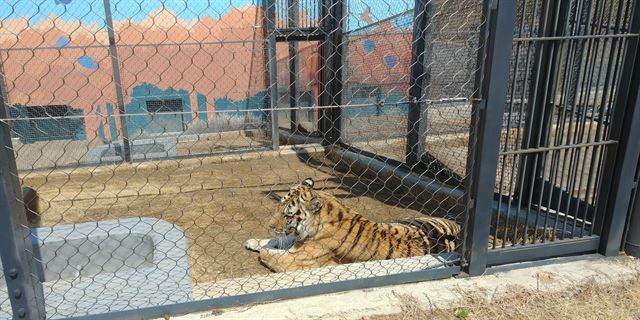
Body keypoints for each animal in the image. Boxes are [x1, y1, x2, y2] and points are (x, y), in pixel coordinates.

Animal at [245, 179, 460, 272]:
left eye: (287, 214)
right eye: (279, 205)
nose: (270, 225)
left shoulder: (294, 260)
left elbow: (272, 254)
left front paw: (262, 249)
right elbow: (277, 241)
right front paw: (253, 241)